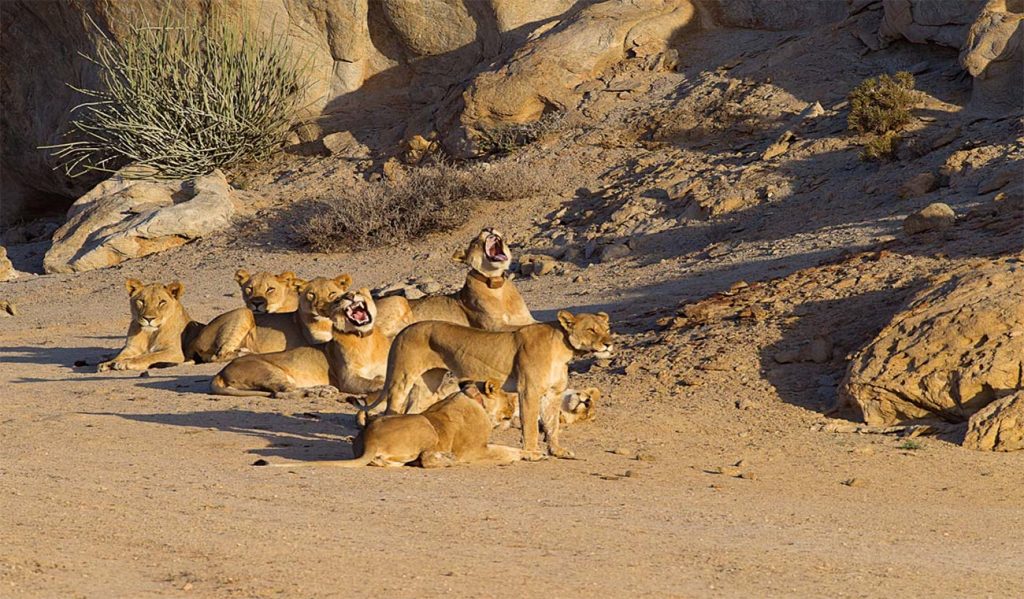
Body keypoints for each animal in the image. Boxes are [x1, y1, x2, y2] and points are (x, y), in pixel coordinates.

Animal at [188, 275, 351, 362]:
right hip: (244, 312)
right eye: (312, 294)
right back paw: (247, 352)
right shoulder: (315, 341)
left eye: (332, 294)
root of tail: (197, 338)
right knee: (219, 355)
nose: (321, 308)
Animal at [209, 287, 390, 397]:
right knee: (282, 392)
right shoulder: (348, 379)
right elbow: (377, 381)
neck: (365, 338)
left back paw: (322, 389)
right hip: (268, 370)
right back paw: (318, 392)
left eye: (357, 292)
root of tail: (221, 371)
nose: (350, 296)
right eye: (338, 300)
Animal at [264, 381, 521, 468]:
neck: (474, 398)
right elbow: (505, 451)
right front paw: (525, 454)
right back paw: (446, 459)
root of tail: (369, 440)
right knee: (426, 460)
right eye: (508, 398)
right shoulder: (475, 450)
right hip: (424, 424)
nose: (515, 400)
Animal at [365, 310, 612, 459]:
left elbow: (552, 425)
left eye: (606, 329)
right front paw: (532, 452)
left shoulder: (553, 393)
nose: (610, 343)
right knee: (393, 405)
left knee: (414, 408)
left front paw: (557, 451)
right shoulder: (528, 391)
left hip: (430, 382)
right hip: (402, 377)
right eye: (591, 329)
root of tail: (405, 329)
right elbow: (531, 425)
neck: (564, 350)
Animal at [374, 228, 535, 337]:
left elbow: (534, 323)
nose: (488, 228)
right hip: (397, 299)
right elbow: (525, 327)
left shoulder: (527, 318)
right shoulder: (493, 326)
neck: (497, 285)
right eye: (474, 241)